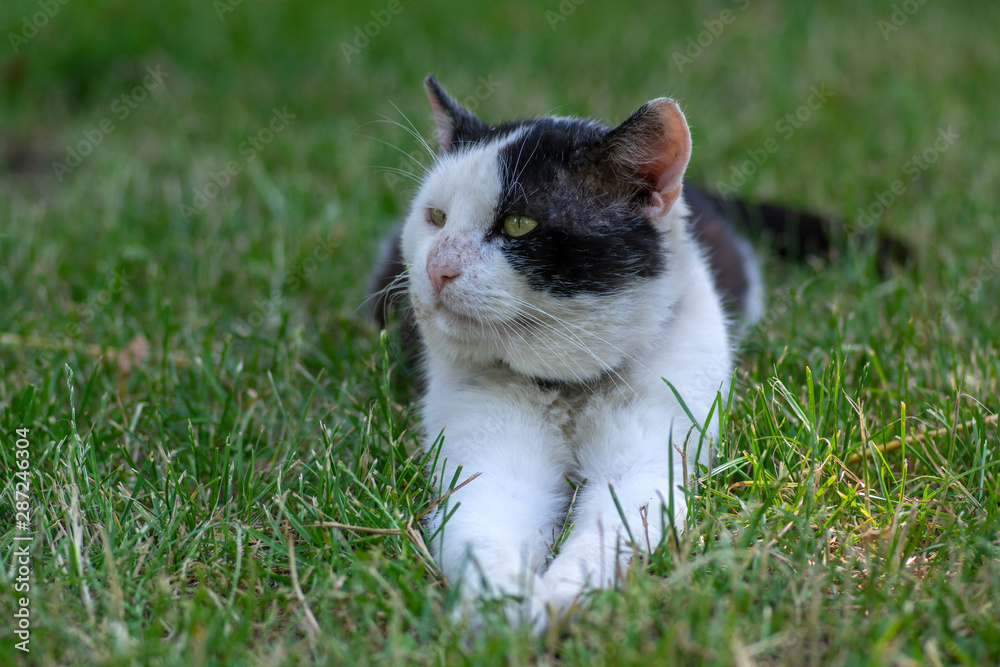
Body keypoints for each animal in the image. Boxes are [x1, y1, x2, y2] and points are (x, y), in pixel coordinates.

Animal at [372, 78, 832, 628]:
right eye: (435, 217)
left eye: (520, 224)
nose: (437, 267)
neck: (567, 388)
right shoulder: (487, 459)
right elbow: (484, 527)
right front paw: (501, 610)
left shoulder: (647, 461)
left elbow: (611, 531)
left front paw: (558, 597)